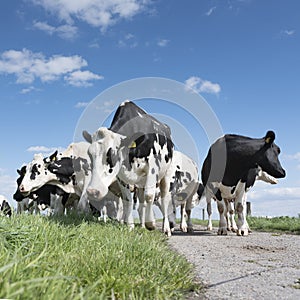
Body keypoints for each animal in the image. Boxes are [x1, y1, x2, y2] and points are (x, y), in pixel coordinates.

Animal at [83, 99, 175, 236]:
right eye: (90, 154)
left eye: (112, 154)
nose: (93, 191)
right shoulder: (121, 175)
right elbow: (128, 200)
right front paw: (130, 226)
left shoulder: (152, 168)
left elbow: (149, 196)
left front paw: (151, 224)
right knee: (141, 204)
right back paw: (142, 226)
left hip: (166, 175)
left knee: (164, 200)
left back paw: (166, 228)